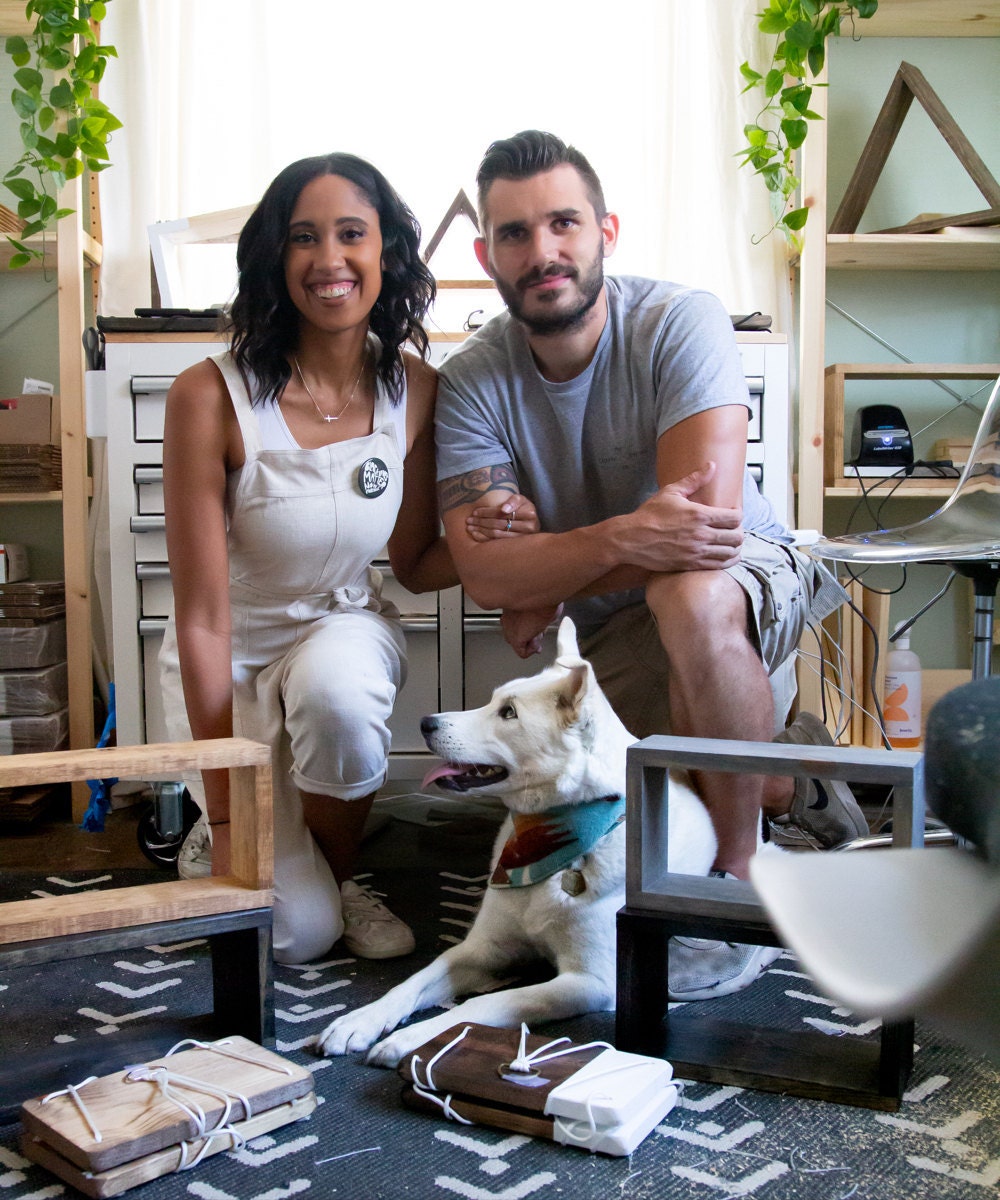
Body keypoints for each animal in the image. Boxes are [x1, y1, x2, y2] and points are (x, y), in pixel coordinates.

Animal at [316, 619, 715, 1070]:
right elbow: (413, 982)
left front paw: (412, 1037)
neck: (545, 844)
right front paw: (360, 1022)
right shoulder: (481, 948)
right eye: (493, 700)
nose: (425, 722)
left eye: (509, 713)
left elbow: (480, 1006)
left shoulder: (590, 981)